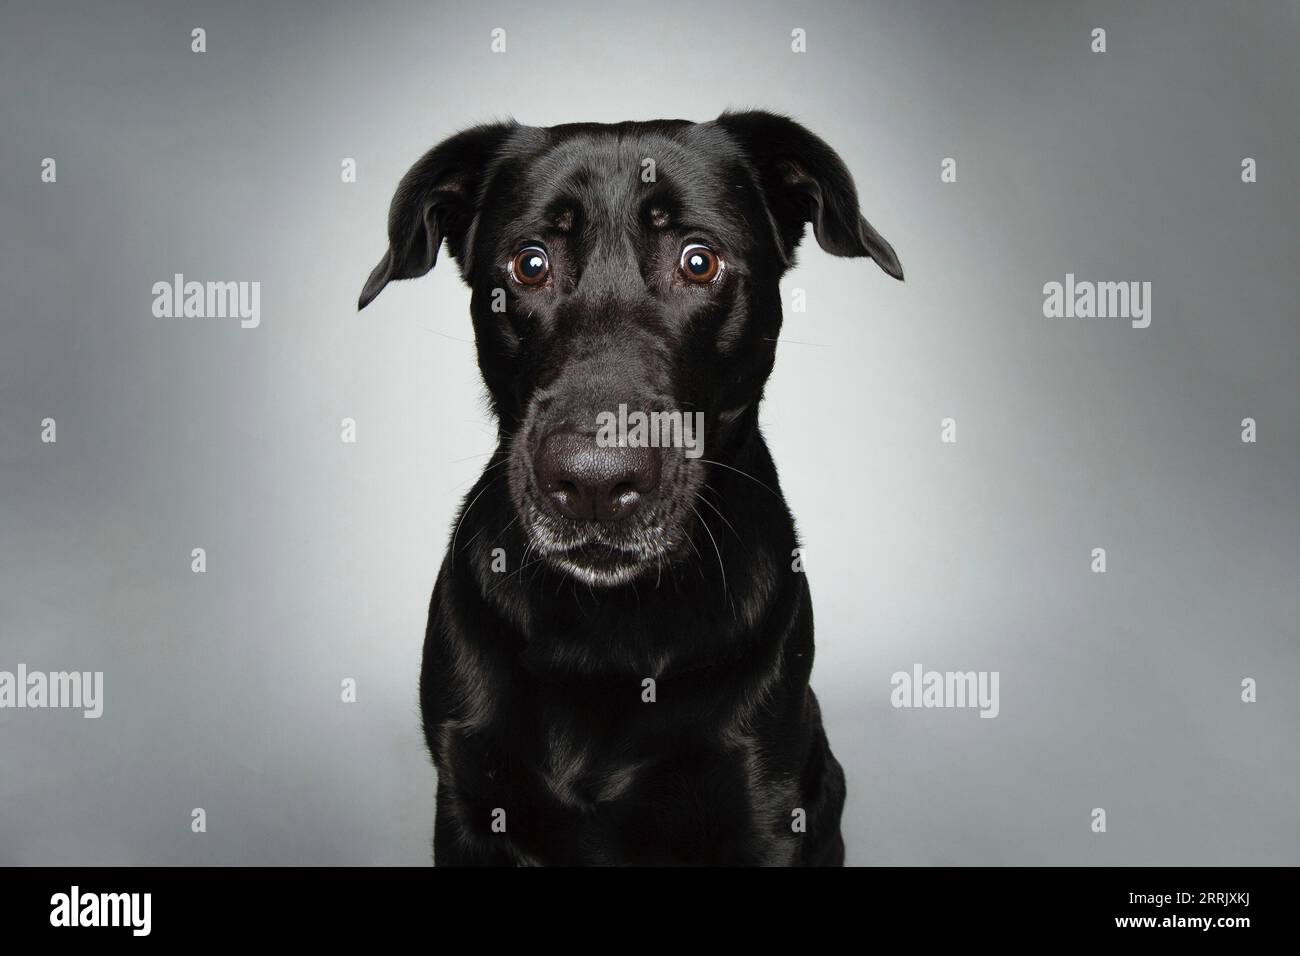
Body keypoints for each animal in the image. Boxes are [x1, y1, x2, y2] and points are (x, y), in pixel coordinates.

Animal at [361, 111, 899, 868]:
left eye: (699, 261)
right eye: (529, 263)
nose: (592, 481)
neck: (609, 626)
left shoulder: (764, 809)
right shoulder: (468, 806)